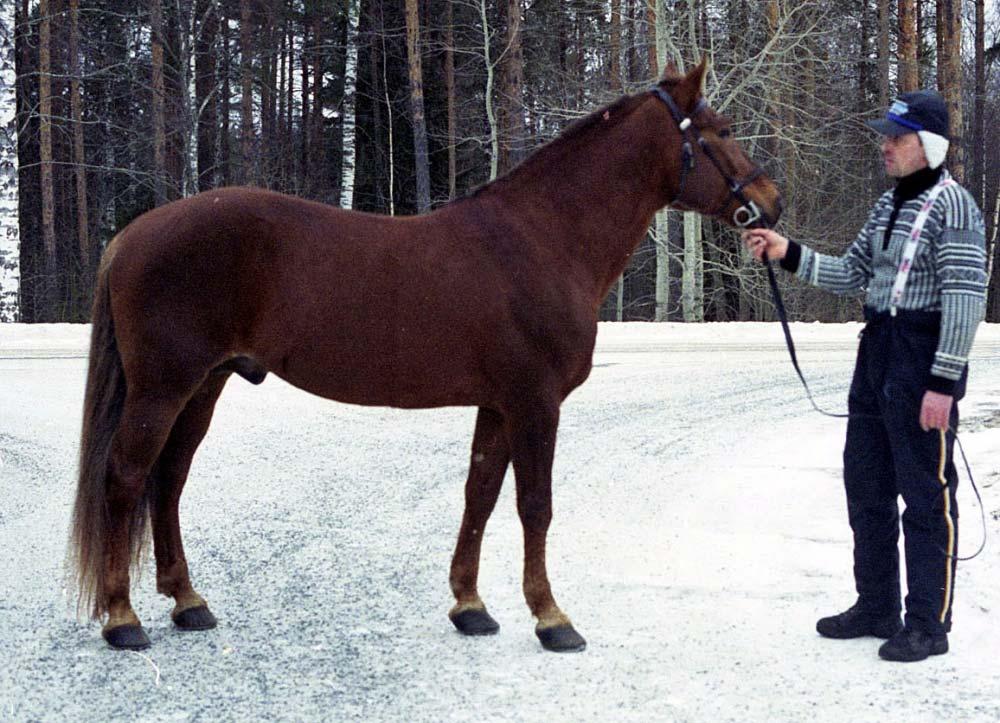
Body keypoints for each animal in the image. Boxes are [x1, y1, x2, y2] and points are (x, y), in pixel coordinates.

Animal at [72, 60, 780, 652]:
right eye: (719, 132)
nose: (770, 203)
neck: (543, 240)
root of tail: (131, 235)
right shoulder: (535, 403)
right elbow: (535, 505)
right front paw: (552, 618)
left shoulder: (499, 405)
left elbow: (479, 495)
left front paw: (471, 607)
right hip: (163, 387)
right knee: (126, 478)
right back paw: (122, 619)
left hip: (204, 385)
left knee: (169, 481)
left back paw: (188, 602)